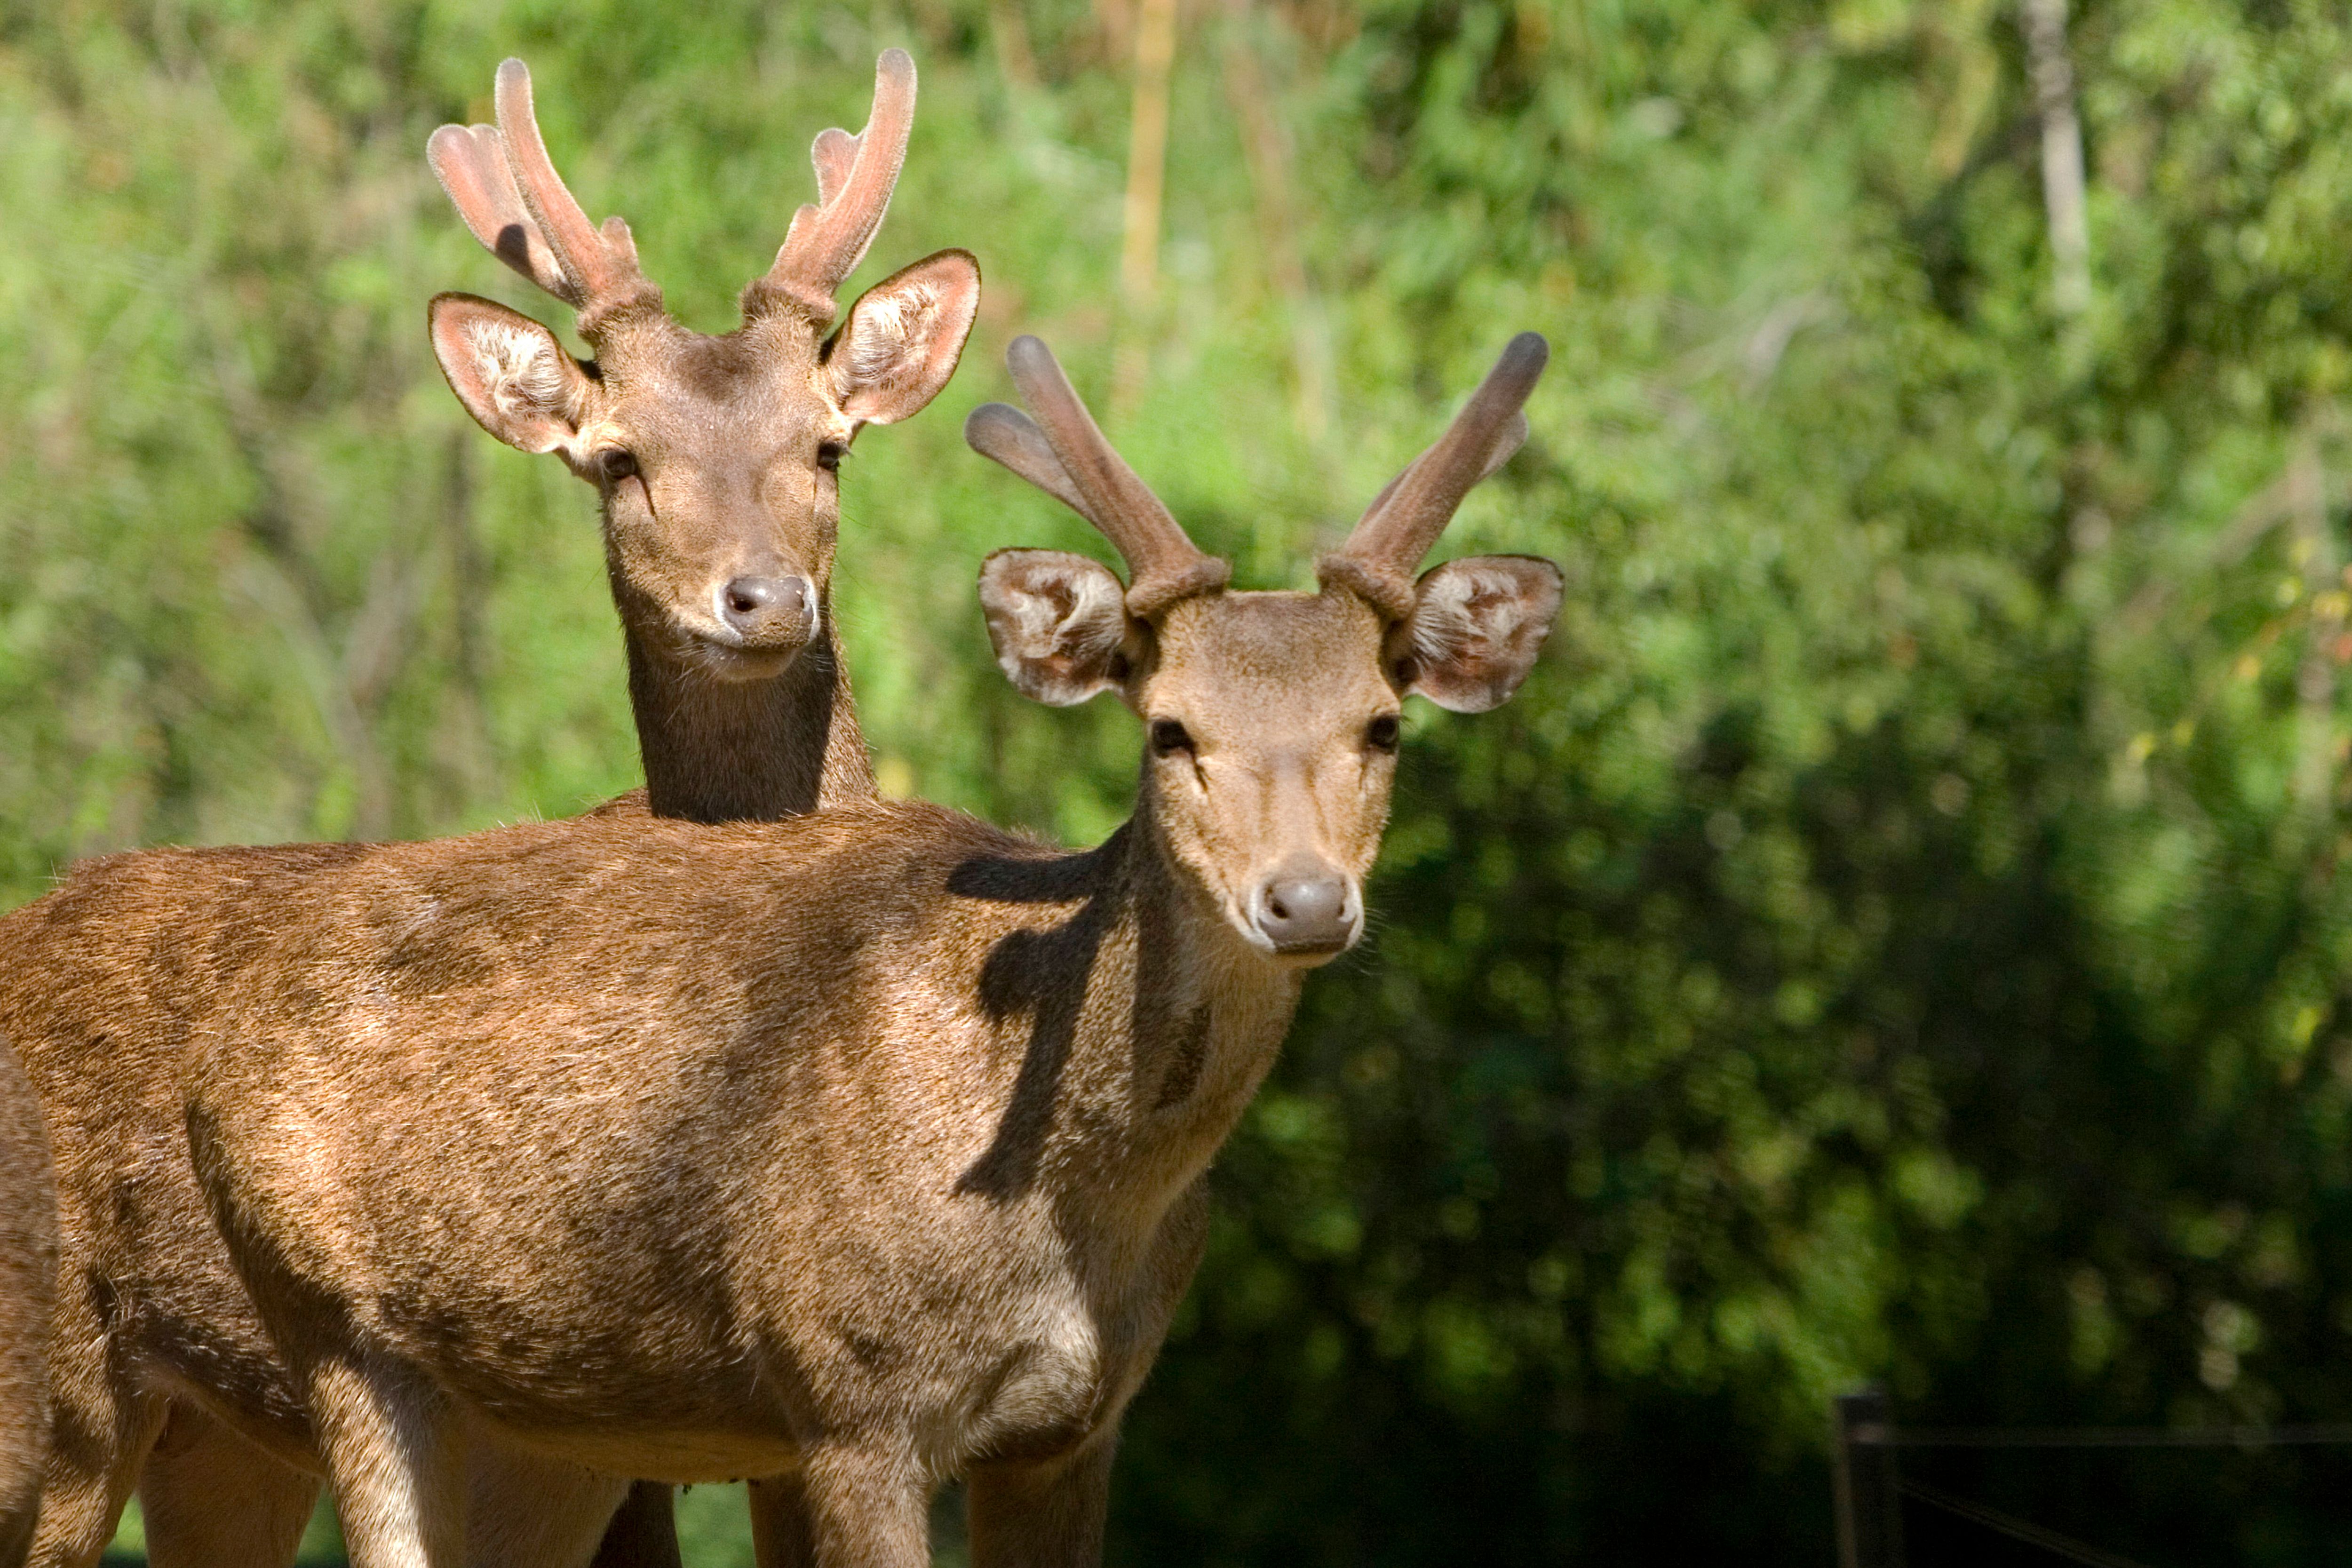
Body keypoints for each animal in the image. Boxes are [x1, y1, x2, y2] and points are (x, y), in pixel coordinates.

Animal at [52, 328, 1557, 1568]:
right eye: (1170, 728)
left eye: (1383, 725)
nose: (1303, 901)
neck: (1064, 1196)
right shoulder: (848, 1391)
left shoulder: (1080, 1423)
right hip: (310, 1339)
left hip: (512, 1426)